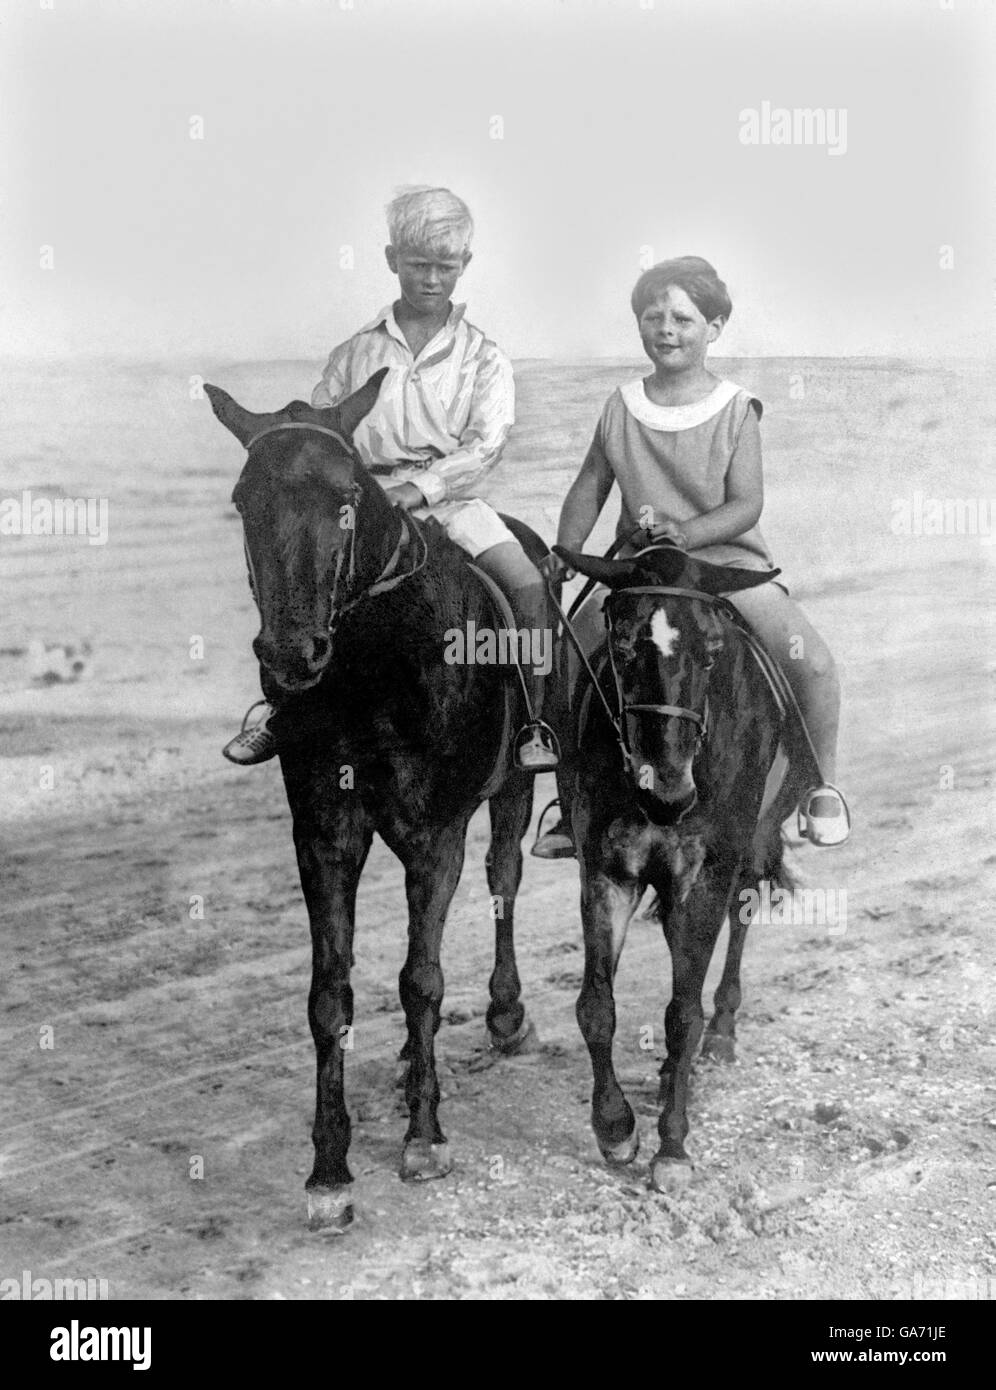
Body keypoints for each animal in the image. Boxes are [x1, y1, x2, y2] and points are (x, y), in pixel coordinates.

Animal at [202, 366, 544, 1228]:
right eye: (244, 500)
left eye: (348, 497)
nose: (292, 654)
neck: (377, 667)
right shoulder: (324, 835)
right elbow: (331, 996)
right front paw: (329, 1171)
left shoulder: (436, 835)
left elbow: (422, 979)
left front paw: (424, 1138)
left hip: (517, 785)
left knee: (504, 881)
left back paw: (506, 1015)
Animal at [555, 542, 805, 1195]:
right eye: (620, 647)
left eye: (713, 651)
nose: (667, 790)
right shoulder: (607, 871)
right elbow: (595, 1006)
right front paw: (615, 1128)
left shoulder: (706, 873)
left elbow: (682, 1013)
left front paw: (672, 1146)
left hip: (749, 848)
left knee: (737, 927)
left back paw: (721, 1033)